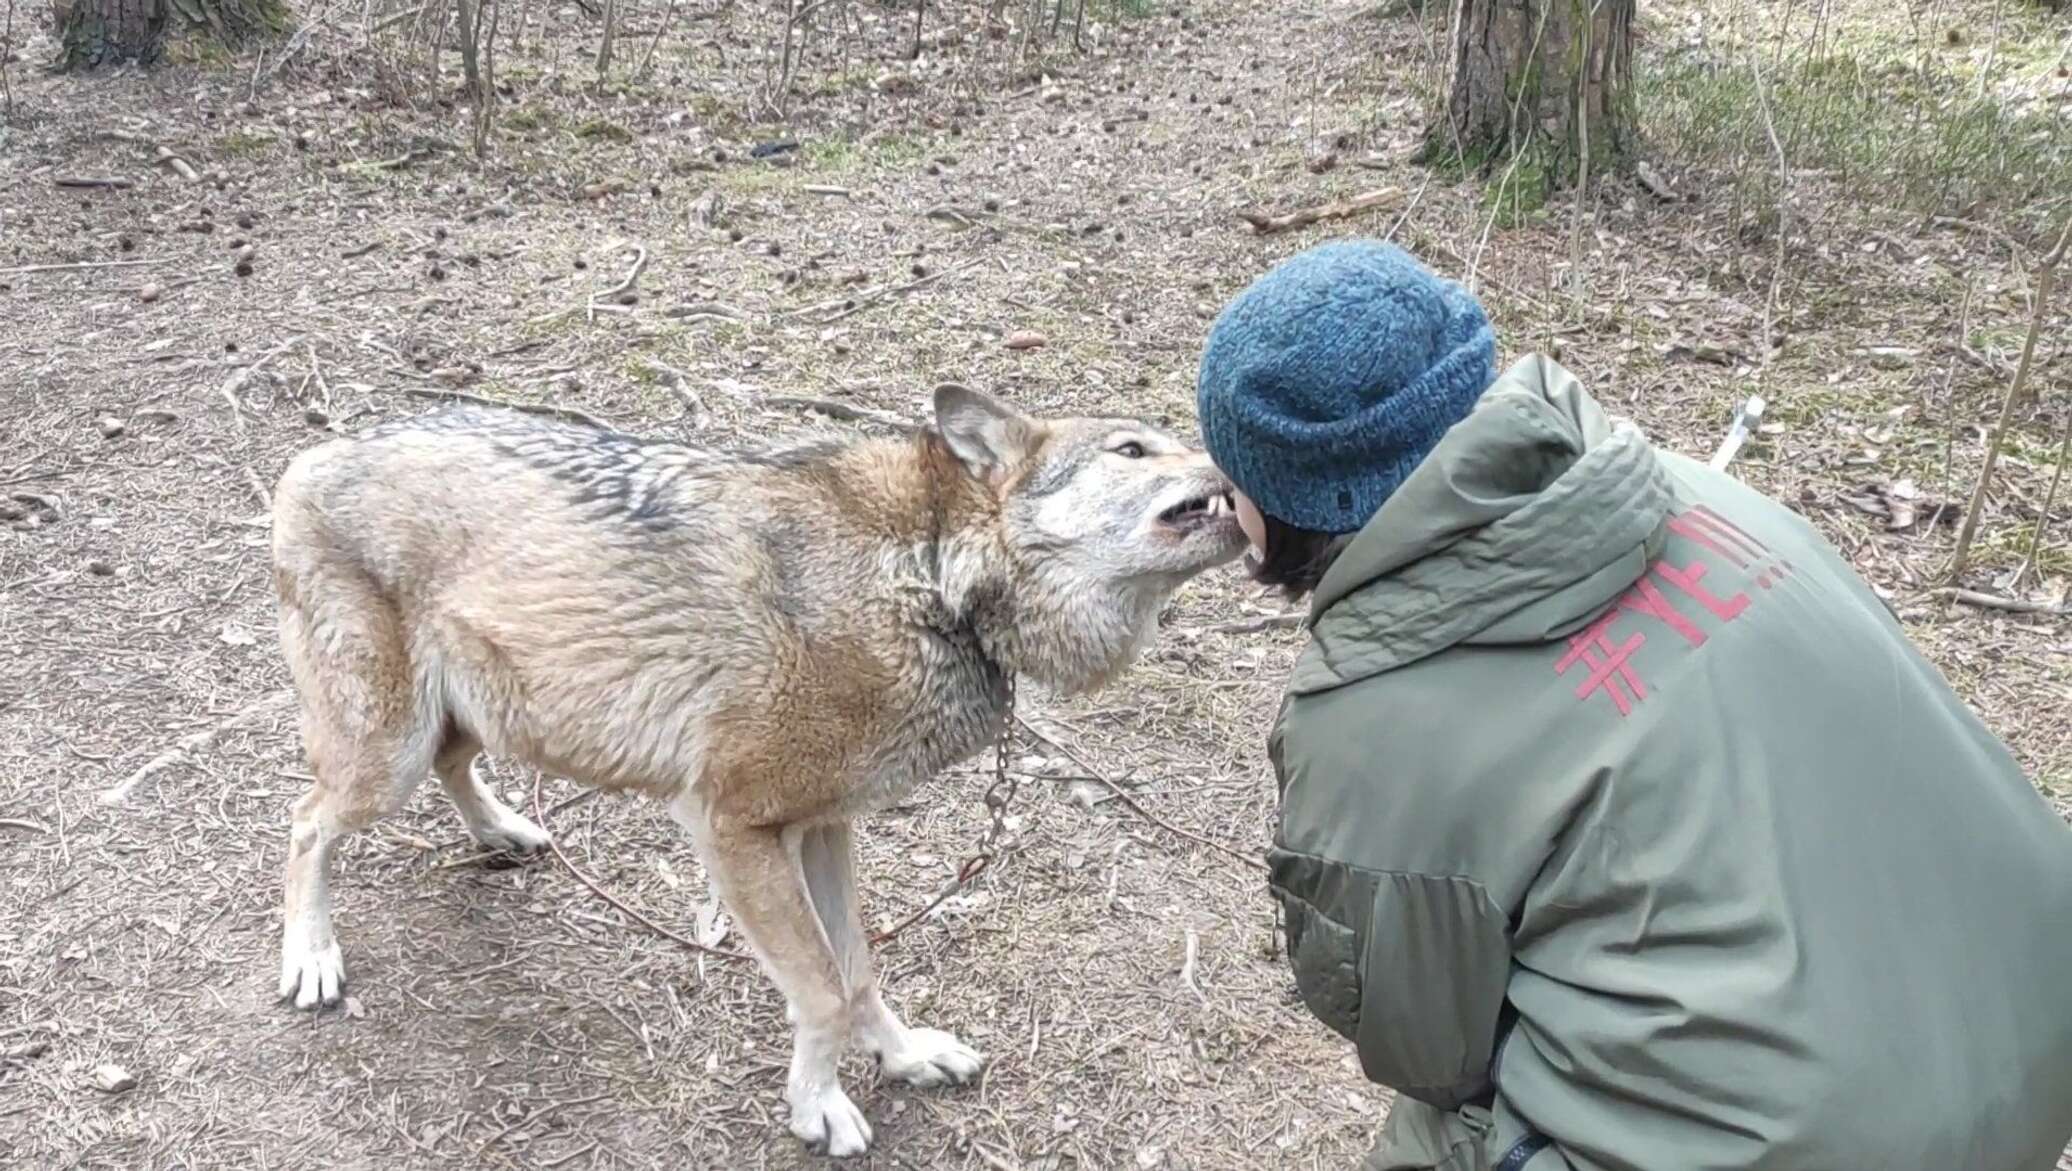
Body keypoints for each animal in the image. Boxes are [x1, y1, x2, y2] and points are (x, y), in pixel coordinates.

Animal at [275, 383, 1243, 1152]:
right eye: (1132, 449)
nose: (1236, 466)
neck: (930, 574)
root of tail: (314, 456)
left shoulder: (821, 827)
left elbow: (858, 970)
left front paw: (904, 1057)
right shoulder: (734, 827)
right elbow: (821, 989)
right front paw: (820, 1106)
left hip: (485, 717)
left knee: (451, 771)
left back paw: (504, 830)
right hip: (386, 759)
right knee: (305, 824)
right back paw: (311, 956)